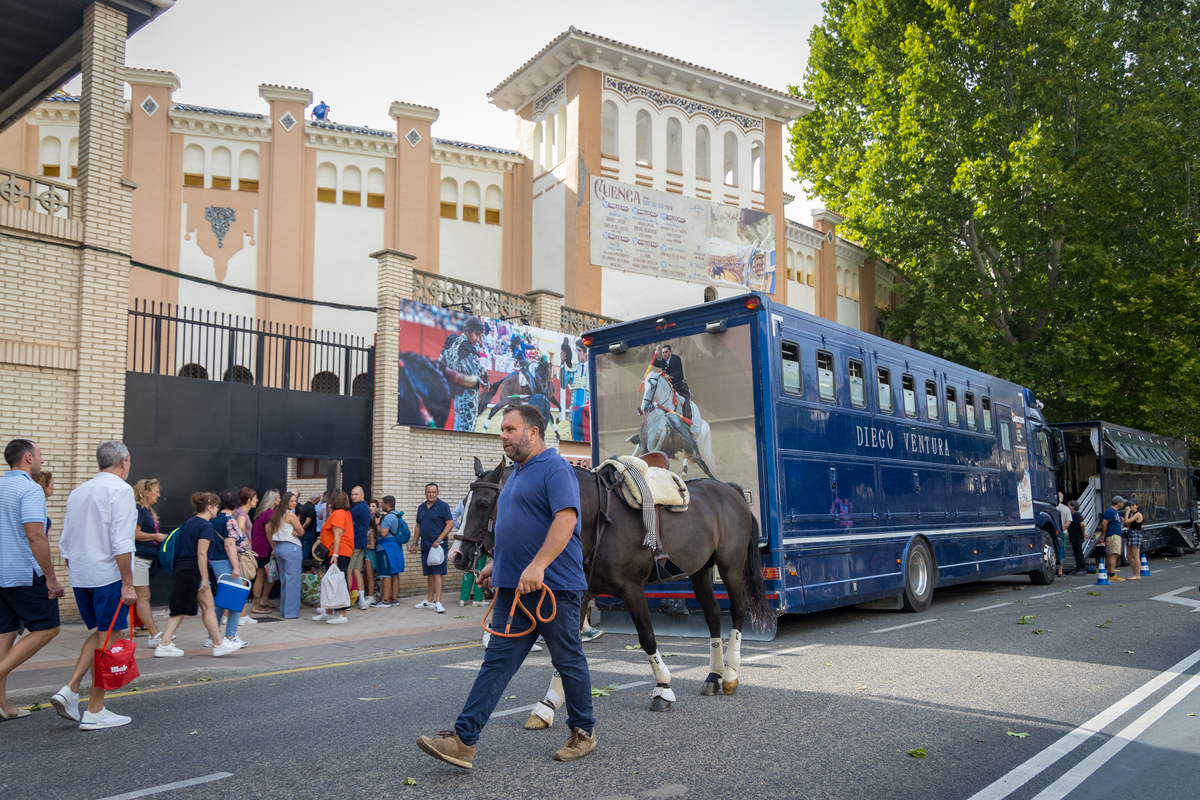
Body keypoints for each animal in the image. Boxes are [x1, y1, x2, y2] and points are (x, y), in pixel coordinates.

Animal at [451, 455, 768, 719]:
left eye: (483, 504)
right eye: (463, 502)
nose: (457, 555)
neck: (593, 517)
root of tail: (731, 491)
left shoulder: (632, 589)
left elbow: (647, 638)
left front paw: (663, 689)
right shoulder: (580, 593)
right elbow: (566, 649)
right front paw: (549, 703)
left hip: (730, 566)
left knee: (737, 610)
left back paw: (729, 674)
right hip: (700, 570)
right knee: (713, 615)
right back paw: (713, 676)